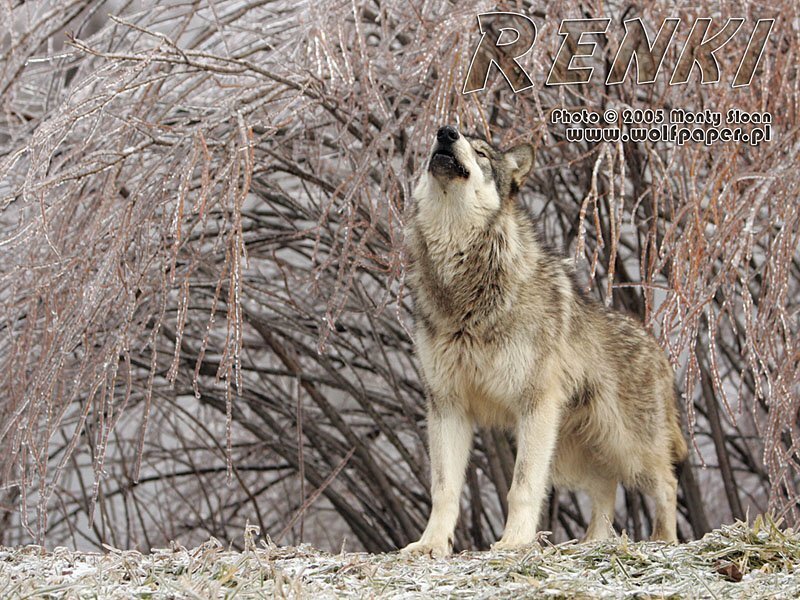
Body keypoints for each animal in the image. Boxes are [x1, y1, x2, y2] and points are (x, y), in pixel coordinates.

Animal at [401, 125, 688, 557]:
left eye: (481, 153)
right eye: (433, 146)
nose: (446, 133)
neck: (464, 291)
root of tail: (659, 352)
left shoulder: (534, 403)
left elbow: (521, 486)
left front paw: (513, 543)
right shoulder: (447, 406)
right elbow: (444, 488)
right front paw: (430, 545)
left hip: (623, 445)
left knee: (666, 483)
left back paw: (664, 542)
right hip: (570, 451)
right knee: (605, 486)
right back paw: (593, 544)